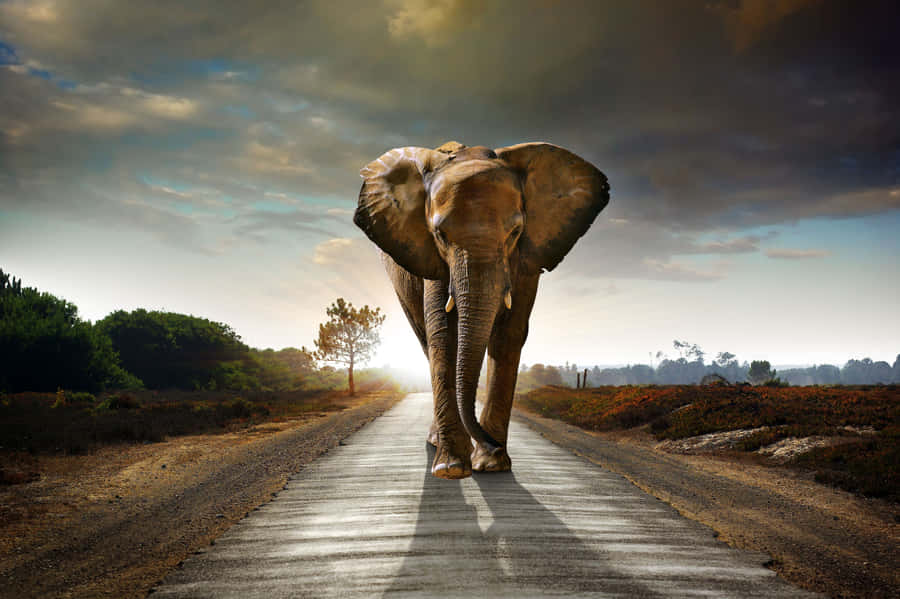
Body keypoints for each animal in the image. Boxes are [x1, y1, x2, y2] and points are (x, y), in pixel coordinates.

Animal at [354, 140, 609, 479]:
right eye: (440, 235)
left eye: (515, 232)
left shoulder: (526, 258)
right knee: (426, 340)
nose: (491, 444)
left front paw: (491, 465)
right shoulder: (432, 258)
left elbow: (509, 334)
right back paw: (438, 444)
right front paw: (451, 468)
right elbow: (443, 334)